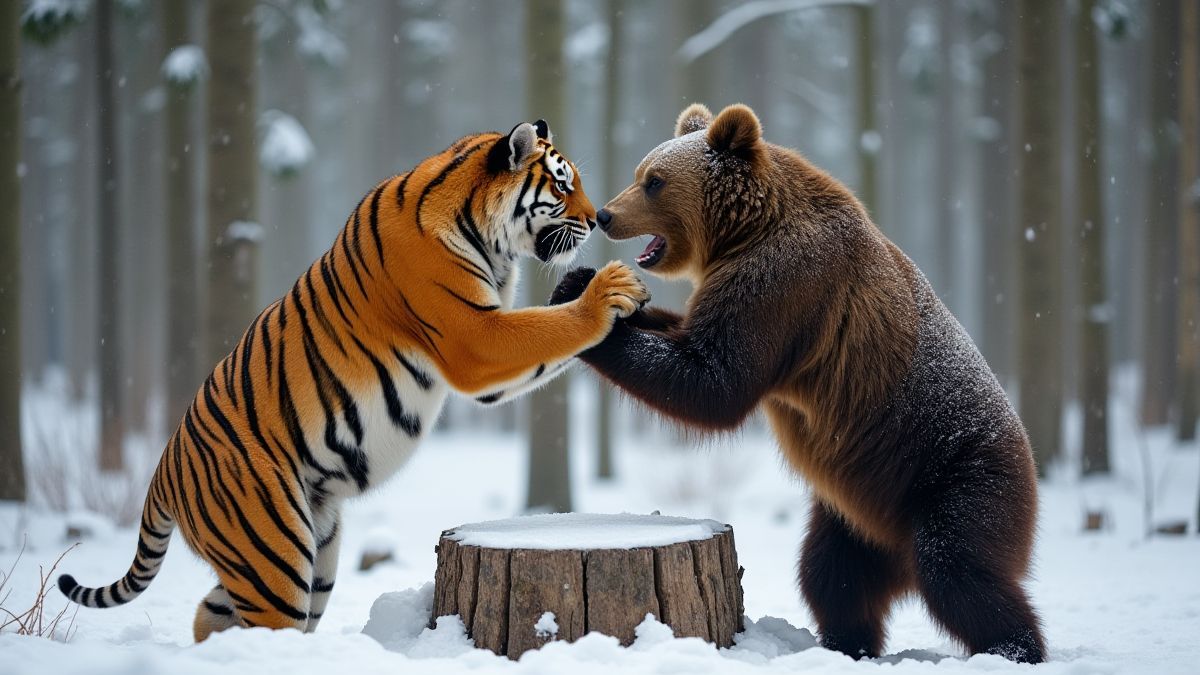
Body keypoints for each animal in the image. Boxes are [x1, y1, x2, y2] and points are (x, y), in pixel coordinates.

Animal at [57, 119, 650, 641]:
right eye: (563, 184)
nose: (596, 219)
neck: (488, 235)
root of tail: (163, 470)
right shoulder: (474, 339)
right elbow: (551, 329)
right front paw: (607, 291)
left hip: (312, 553)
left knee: (214, 617)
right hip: (273, 556)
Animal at [550, 103, 1045, 663]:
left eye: (653, 181)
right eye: (642, 173)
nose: (606, 215)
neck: (744, 233)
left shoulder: (784, 285)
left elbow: (715, 380)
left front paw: (592, 317)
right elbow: (687, 337)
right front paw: (584, 286)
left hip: (957, 474)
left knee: (959, 570)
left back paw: (1012, 648)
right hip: (854, 508)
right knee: (832, 574)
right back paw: (846, 644)